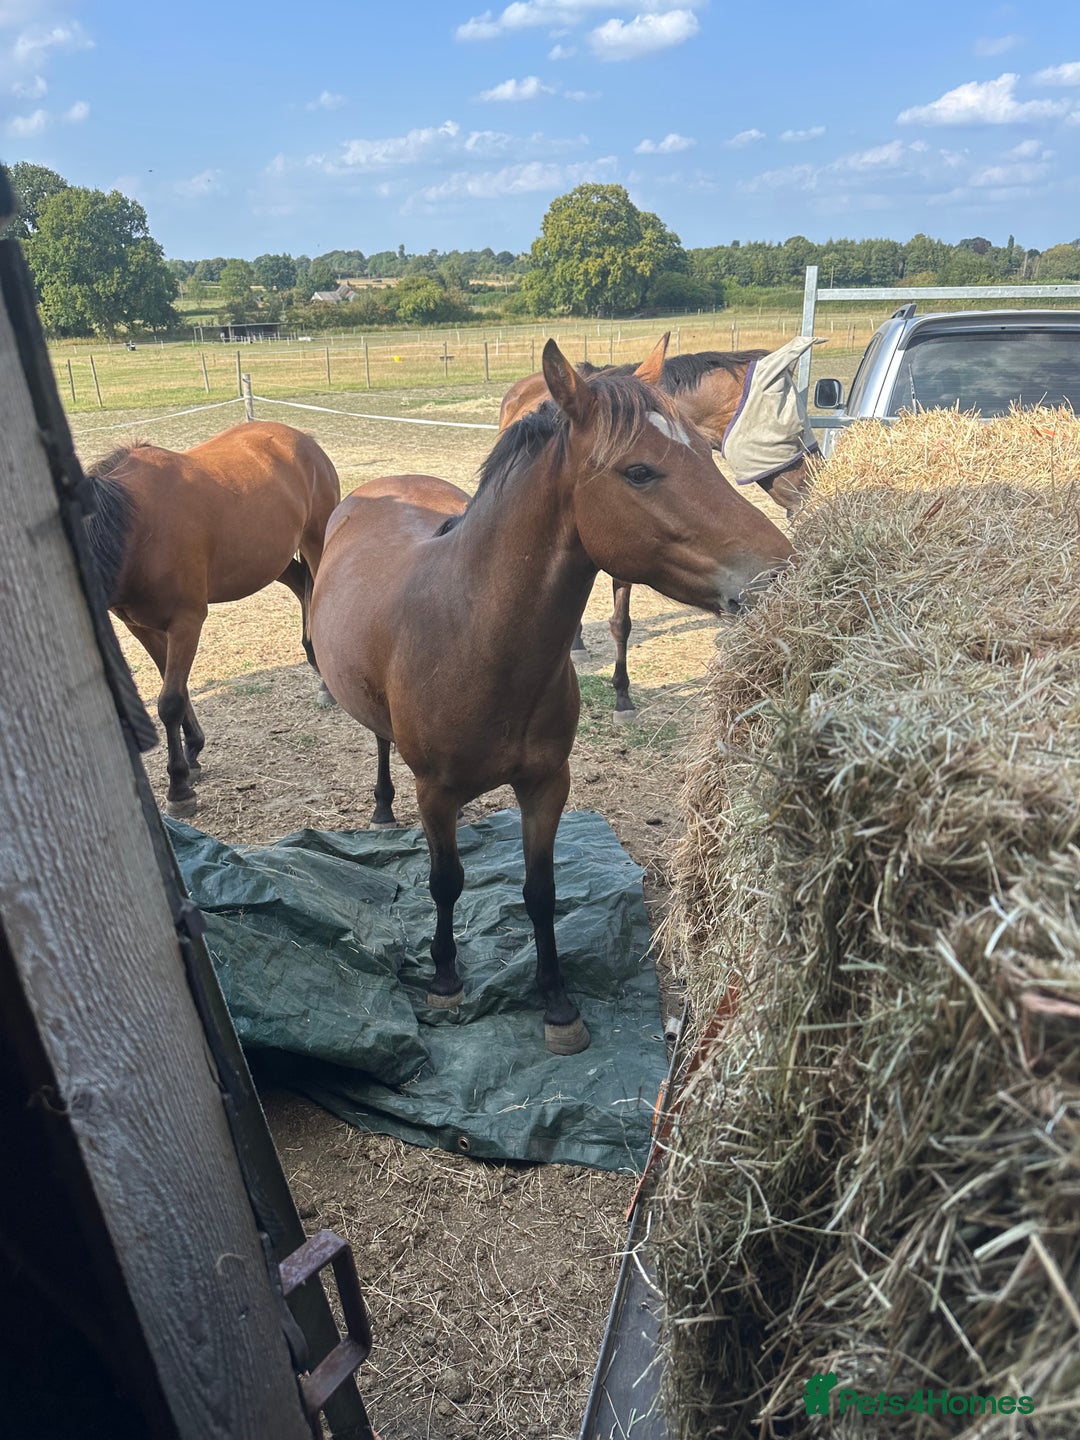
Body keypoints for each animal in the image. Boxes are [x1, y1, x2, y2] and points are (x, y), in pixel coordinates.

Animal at [83, 421, 341, 818]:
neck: (137, 527)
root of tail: (302, 439)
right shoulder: (142, 626)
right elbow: (176, 688)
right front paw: (193, 752)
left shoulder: (186, 622)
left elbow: (170, 702)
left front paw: (179, 787)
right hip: (271, 558)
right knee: (303, 587)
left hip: (316, 539)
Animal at [499, 334, 822, 721]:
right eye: (793, 428)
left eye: (704, 452)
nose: (814, 479)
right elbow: (619, 623)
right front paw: (622, 695)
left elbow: (621, 620)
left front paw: (622, 692)